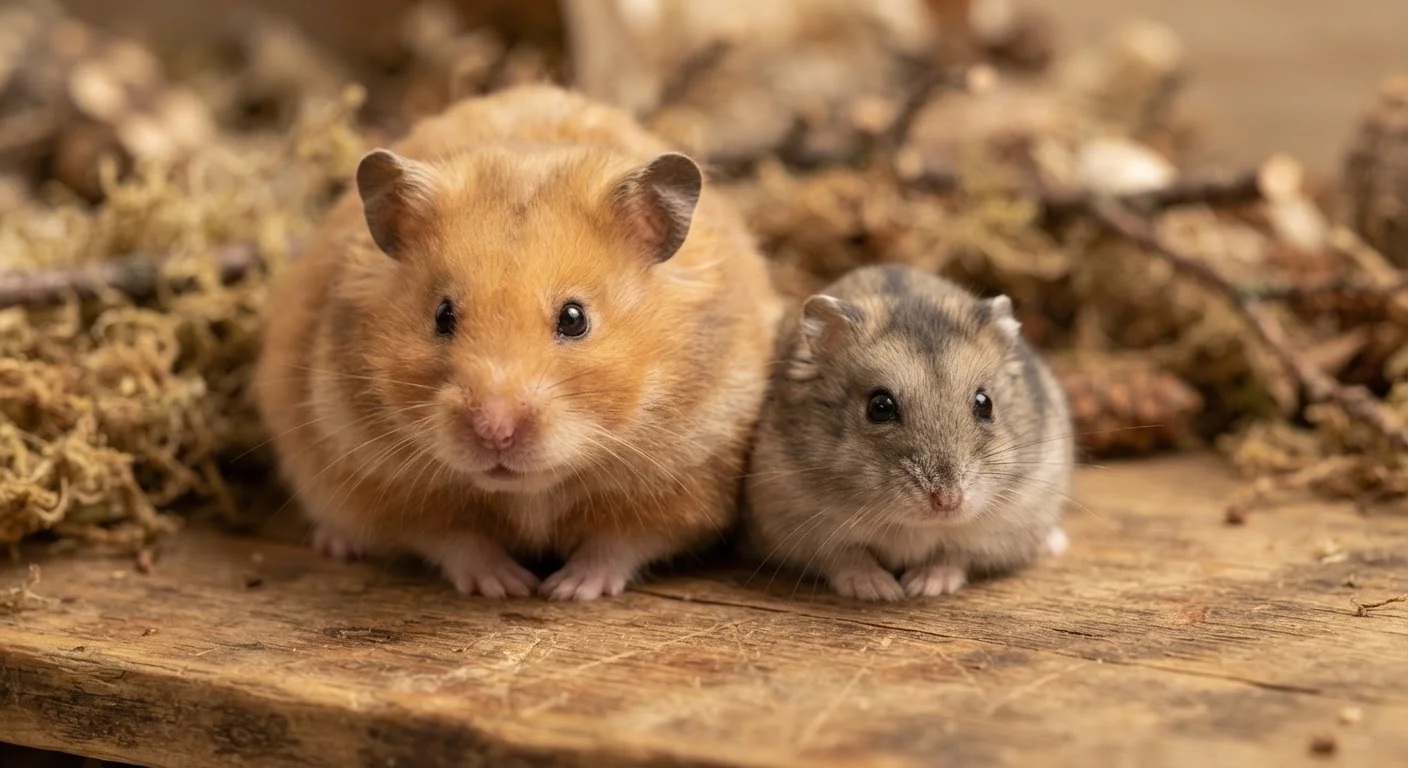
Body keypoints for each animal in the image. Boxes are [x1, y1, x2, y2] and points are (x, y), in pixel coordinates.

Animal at [253, 84, 782, 601]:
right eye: (443, 316)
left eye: (574, 318)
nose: (494, 432)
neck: (530, 493)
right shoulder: (386, 482)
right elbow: (454, 539)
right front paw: (508, 587)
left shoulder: (686, 475)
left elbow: (619, 543)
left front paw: (567, 590)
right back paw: (336, 543)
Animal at [741, 264, 1073, 601]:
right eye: (880, 407)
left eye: (985, 403)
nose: (948, 502)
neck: (914, 525)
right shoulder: (798, 526)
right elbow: (848, 557)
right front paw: (883, 591)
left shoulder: (1005, 524)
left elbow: (954, 554)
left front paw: (922, 587)